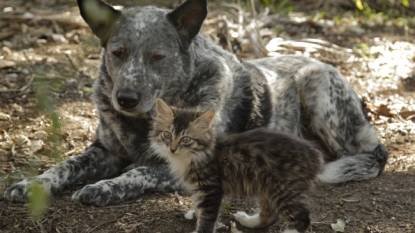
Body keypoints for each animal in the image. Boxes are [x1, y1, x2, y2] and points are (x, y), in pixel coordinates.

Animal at [3, 0, 388, 206]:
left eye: (158, 56)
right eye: (118, 52)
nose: (125, 98)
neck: (144, 121)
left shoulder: (194, 164)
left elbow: (139, 171)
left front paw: (104, 187)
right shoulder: (105, 151)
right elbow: (64, 165)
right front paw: (32, 184)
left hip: (317, 88)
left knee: (368, 154)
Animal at [150, 99, 324, 233]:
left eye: (186, 139)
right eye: (167, 135)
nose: (172, 149)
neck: (195, 155)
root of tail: (315, 155)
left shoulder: (211, 190)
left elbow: (207, 220)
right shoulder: (200, 191)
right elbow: (200, 210)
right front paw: (195, 214)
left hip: (285, 189)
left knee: (301, 219)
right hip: (267, 187)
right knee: (270, 215)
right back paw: (247, 220)